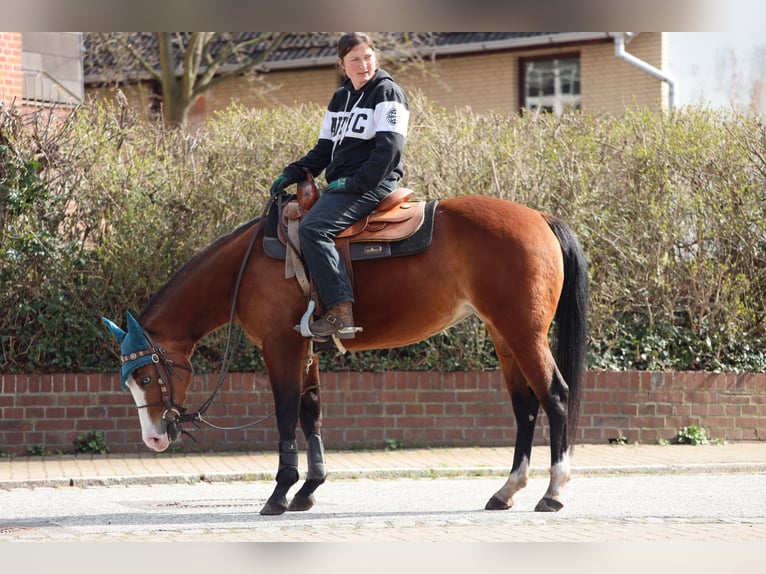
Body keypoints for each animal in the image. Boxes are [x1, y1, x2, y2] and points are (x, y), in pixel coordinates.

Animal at [102, 193, 588, 515]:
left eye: (146, 377)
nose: (154, 439)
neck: (247, 266)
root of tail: (540, 217)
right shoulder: (306, 349)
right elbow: (311, 412)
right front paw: (308, 489)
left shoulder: (281, 347)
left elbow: (286, 413)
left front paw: (279, 493)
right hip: (504, 336)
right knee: (525, 407)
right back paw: (507, 490)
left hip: (524, 334)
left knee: (556, 397)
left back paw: (553, 493)